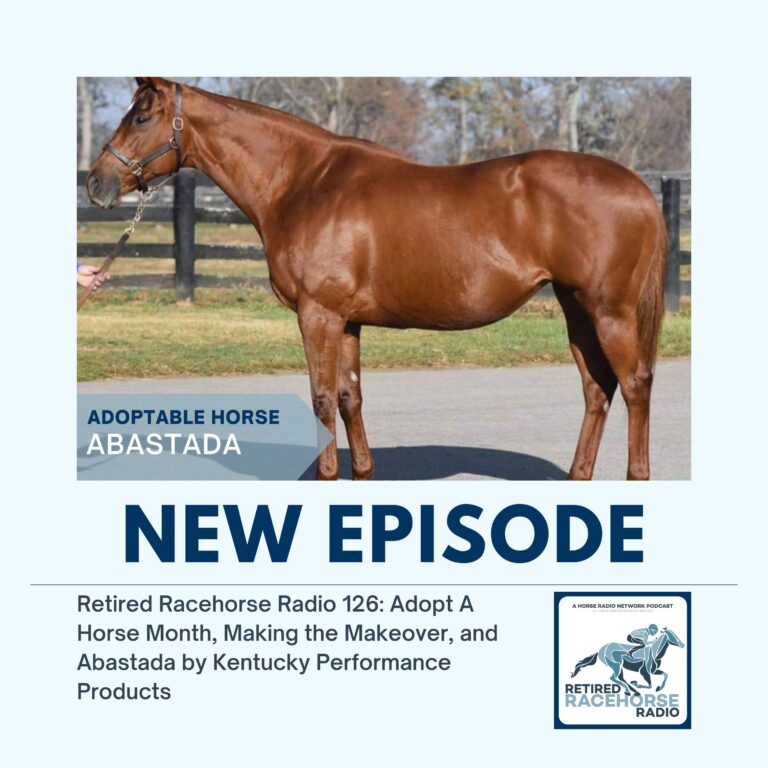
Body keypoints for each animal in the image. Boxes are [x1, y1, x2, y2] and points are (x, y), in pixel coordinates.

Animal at [86, 77, 667, 481]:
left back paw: (637, 474)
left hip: (609, 310)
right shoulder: (346, 321)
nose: (96, 183)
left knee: (635, 385)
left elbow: (322, 398)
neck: (303, 182)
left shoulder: (318, 314)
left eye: (141, 117)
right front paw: (362, 474)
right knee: (597, 388)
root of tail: (640, 187)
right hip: (576, 308)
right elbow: (350, 397)